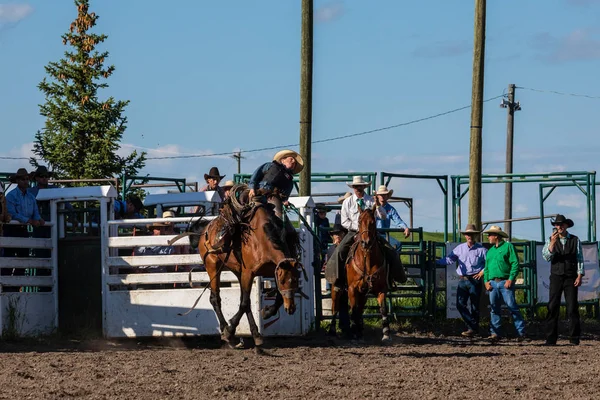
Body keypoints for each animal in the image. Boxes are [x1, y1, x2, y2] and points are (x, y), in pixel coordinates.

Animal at [193, 188, 304, 354]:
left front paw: (267, 312)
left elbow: (274, 298)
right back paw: (227, 333)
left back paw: (253, 334)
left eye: (296, 280)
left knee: (243, 301)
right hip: (212, 266)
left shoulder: (268, 272)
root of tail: (207, 228)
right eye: (284, 281)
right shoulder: (249, 273)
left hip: (238, 272)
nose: (291, 308)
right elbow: (244, 303)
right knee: (216, 298)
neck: (263, 241)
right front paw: (230, 331)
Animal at [328, 205, 390, 342]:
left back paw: (359, 330)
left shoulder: (380, 288)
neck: (367, 260)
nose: (366, 242)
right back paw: (333, 331)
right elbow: (353, 310)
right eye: (359, 222)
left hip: (363, 294)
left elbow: (383, 308)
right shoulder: (352, 288)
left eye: (373, 222)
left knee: (360, 309)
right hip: (337, 288)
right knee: (335, 307)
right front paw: (354, 332)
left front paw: (386, 333)